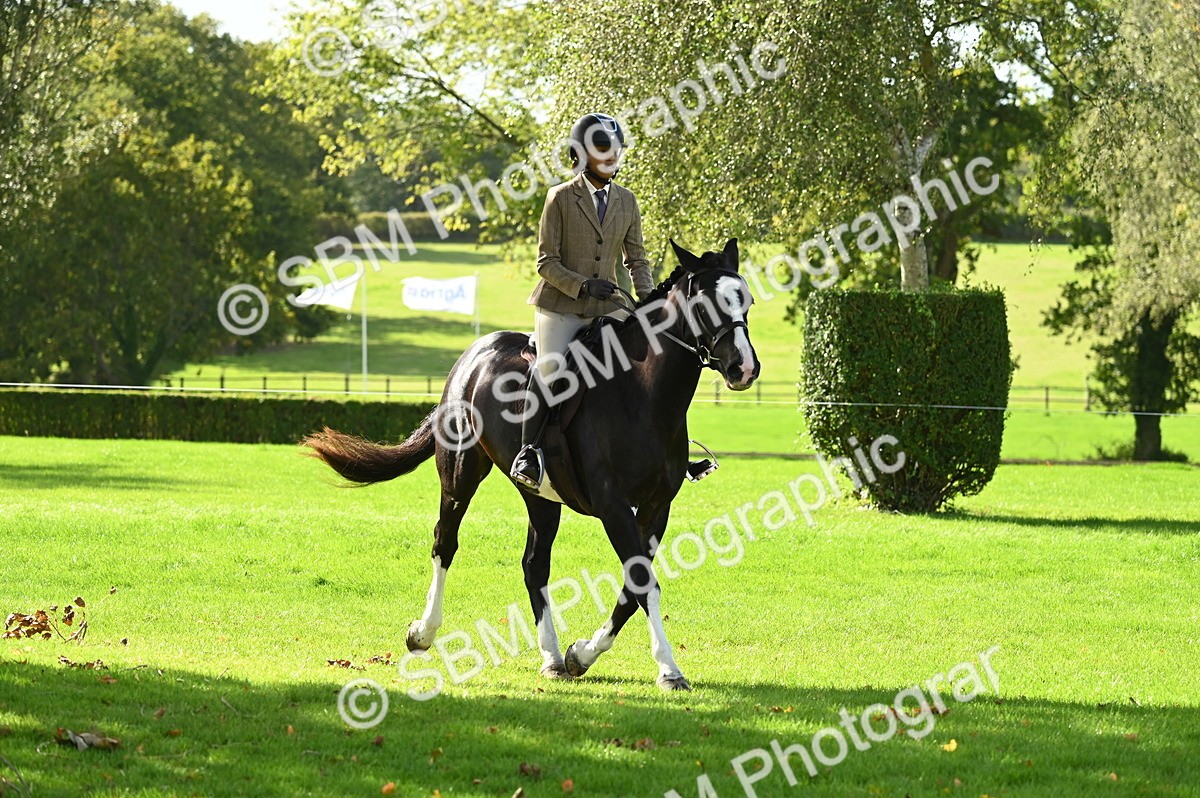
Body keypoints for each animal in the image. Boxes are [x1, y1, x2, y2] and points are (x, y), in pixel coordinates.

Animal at [302, 238, 760, 691]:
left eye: (747, 301)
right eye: (705, 303)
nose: (745, 369)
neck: (643, 396)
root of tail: (476, 352)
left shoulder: (655, 507)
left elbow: (633, 585)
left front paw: (581, 655)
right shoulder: (613, 506)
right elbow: (642, 582)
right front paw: (668, 669)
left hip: (541, 496)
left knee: (534, 565)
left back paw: (553, 657)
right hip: (460, 472)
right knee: (444, 541)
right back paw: (423, 633)